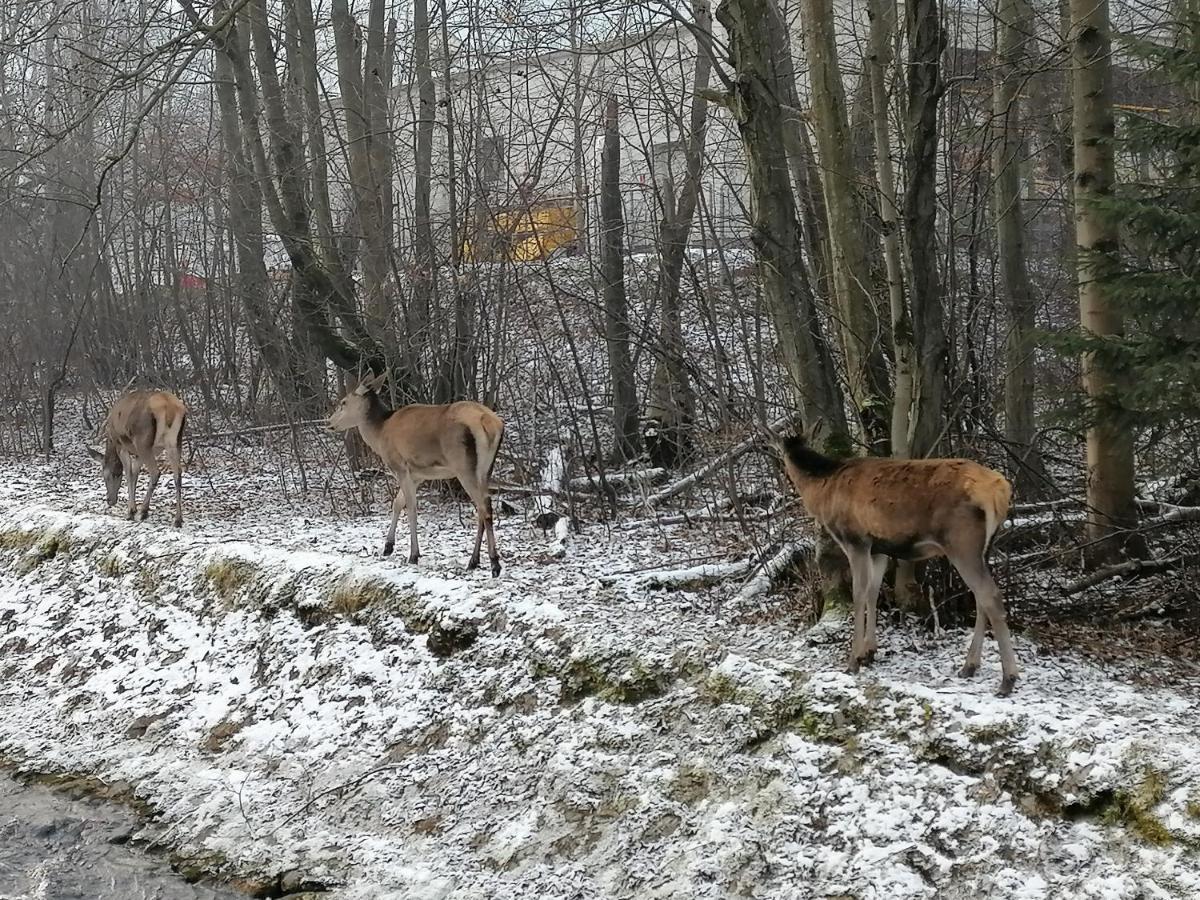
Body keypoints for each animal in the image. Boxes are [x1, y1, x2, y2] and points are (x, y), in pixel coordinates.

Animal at [87, 388, 187, 528]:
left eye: (108, 475)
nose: (110, 500)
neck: (110, 440)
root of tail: (170, 409)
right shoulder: (142, 453)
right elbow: (135, 473)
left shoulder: (121, 445)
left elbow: (129, 473)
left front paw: (131, 511)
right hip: (175, 442)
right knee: (178, 473)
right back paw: (178, 519)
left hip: (143, 441)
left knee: (155, 472)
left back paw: (143, 511)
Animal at [326, 372, 504, 578]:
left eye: (344, 402)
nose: (329, 423)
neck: (379, 434)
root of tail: (489, 423)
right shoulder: (418, 474)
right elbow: (397, 503)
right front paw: (388, 546)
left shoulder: (400, 466)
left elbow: (411, 508)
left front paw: (413, 555)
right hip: (485, 468)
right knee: (483, 507)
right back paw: (474, 561)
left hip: (463, 466)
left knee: (484, 507)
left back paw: (494, 564)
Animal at [777, 434, 1022, 696]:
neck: (822, 489)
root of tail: (1000, 489)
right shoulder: (879, 549)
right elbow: (873, 592)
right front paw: (869, 652)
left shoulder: (856, 541)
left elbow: (859, 594)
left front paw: (853, 661)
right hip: (984, 547)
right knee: (980, 597)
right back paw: (970, 666)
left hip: (962, 541)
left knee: (990, 596)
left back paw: (1007, 680)